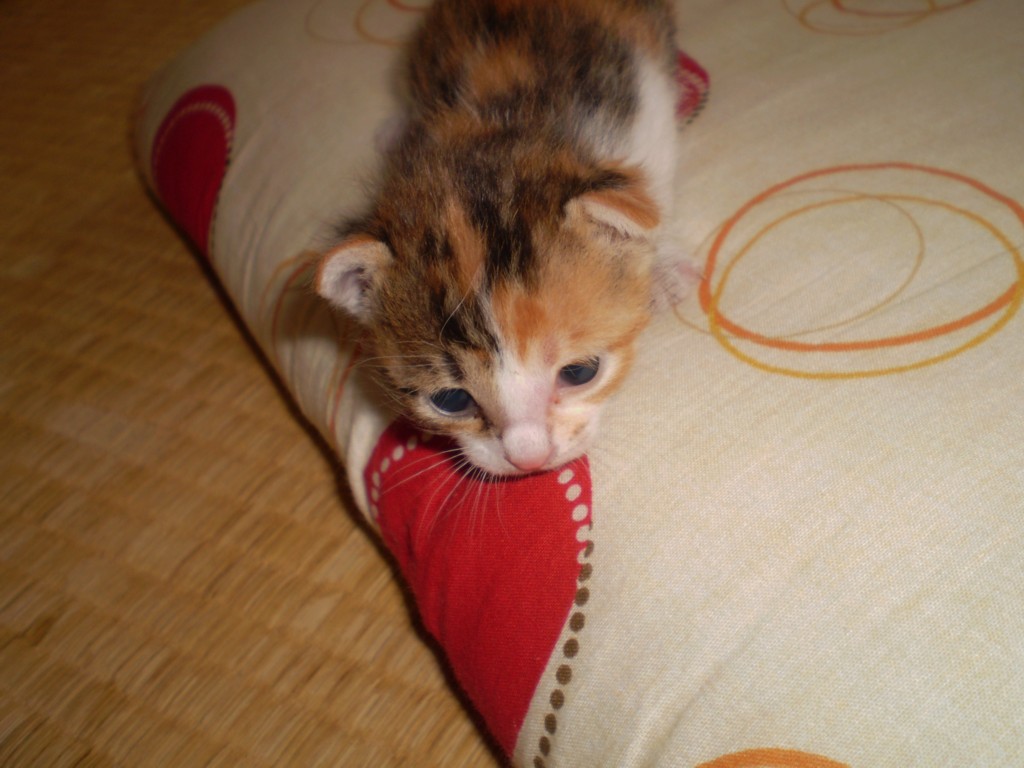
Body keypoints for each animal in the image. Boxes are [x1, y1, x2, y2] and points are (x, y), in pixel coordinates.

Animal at [315, 0, 686, 476]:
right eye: (451, 400)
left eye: (580, 372)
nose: (528, 459)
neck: (504, 126)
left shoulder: (643, 97)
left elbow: (653, 187)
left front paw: (664, 266)